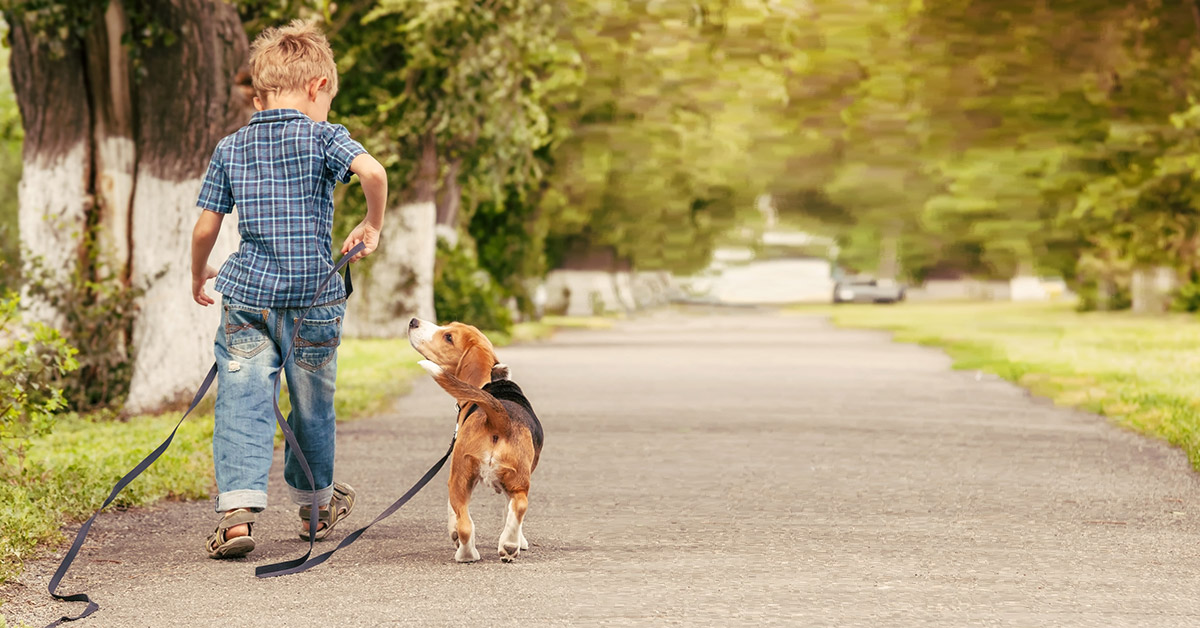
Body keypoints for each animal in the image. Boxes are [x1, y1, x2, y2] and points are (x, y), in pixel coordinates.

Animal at [410, 317, 547, 561]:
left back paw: (469, 553)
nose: (413, 321)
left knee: (466, 524)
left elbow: (453, 513)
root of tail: (500, 418)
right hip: (516, 480)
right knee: (519, 505)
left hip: (459, 477)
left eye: (448, 337)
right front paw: (519, 542)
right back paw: (508, 545)